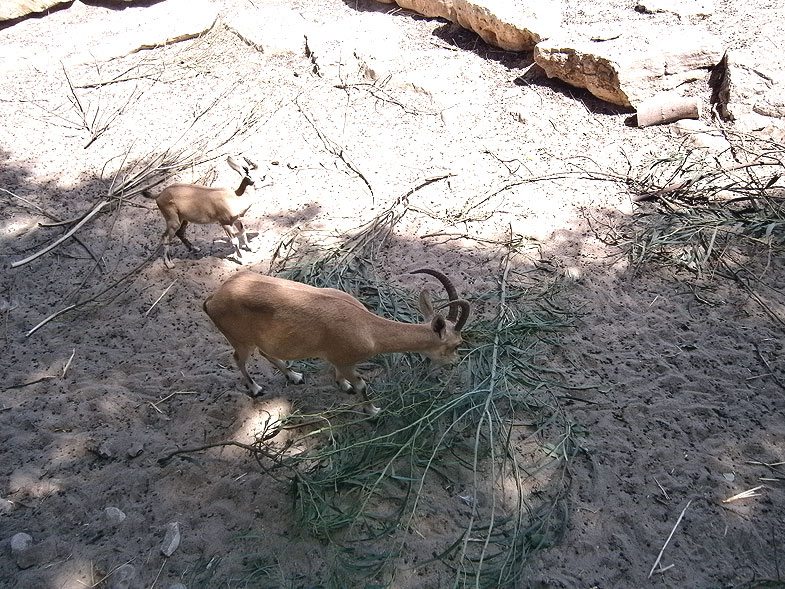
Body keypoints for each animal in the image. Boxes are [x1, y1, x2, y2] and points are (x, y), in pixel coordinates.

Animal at [205, 268, 468, 414]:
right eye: (456, 344)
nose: (456, 363)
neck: (368, 328)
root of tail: (212, 299)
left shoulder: (338, 358)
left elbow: (339, 374)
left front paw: (344, 385)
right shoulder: (347, 360)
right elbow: (362, 385)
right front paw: (373, 410)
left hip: (261, 338)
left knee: (266, 353)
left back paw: (294, 376)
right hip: (240, 339)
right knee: (238, 359)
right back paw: (256, 389)